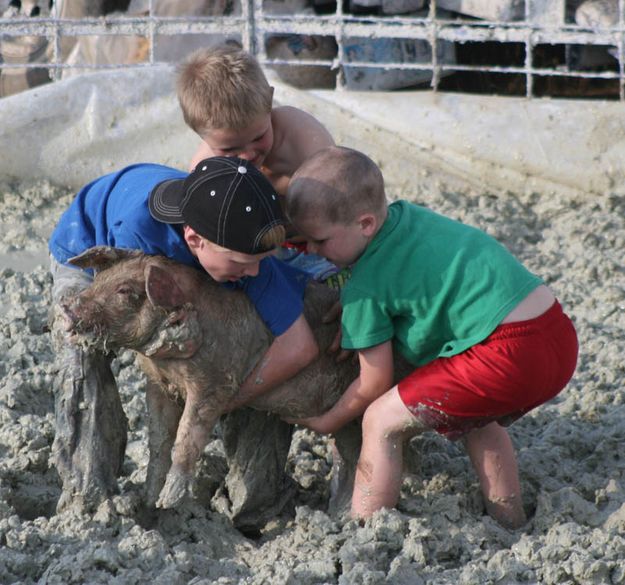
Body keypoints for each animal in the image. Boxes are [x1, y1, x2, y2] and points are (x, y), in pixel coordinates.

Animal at [57, 246, 410, 516]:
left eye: (125, 292)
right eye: (100, 278)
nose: (69, 307)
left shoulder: (213, 384)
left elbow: (187, 438)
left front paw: (170, 502)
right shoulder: (159, 385)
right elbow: (159, 441)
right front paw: (149, 501)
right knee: (349, 455)